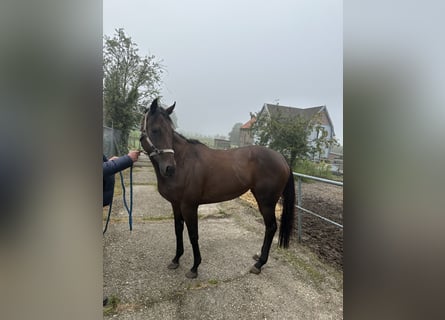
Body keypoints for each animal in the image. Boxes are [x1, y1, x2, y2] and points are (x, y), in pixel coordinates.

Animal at [140, 97, 294, 278]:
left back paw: (259, 264)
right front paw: (176, 259)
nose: (170, 168)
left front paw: (194, 267)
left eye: (170, 132)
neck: (184, 162)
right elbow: (178, 230)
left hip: (266, 202)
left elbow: (193, 234)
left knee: (271, 228)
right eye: (155, 130)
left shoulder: (189, 206)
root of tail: (282, 159)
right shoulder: (176, 204)